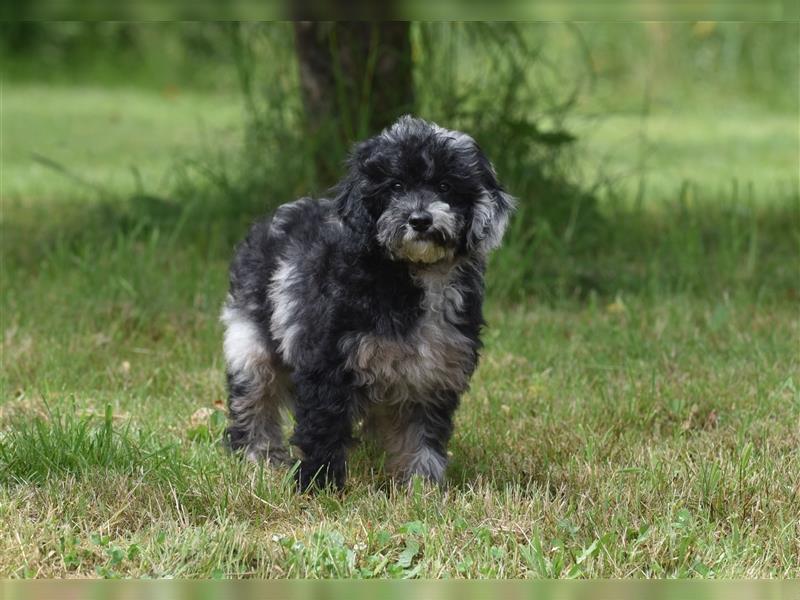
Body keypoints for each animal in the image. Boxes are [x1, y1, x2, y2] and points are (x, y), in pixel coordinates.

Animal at [222, 115, 516, 490]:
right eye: (395, 186)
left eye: (445, 186)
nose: (420, 220)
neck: (413, 273)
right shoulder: (329, 362)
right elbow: (324, 426)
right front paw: (319, 485)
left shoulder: (434, 371)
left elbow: (421, 436)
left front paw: (422, 487)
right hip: (251, 342)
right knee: (255, 396)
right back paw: (257, 455)